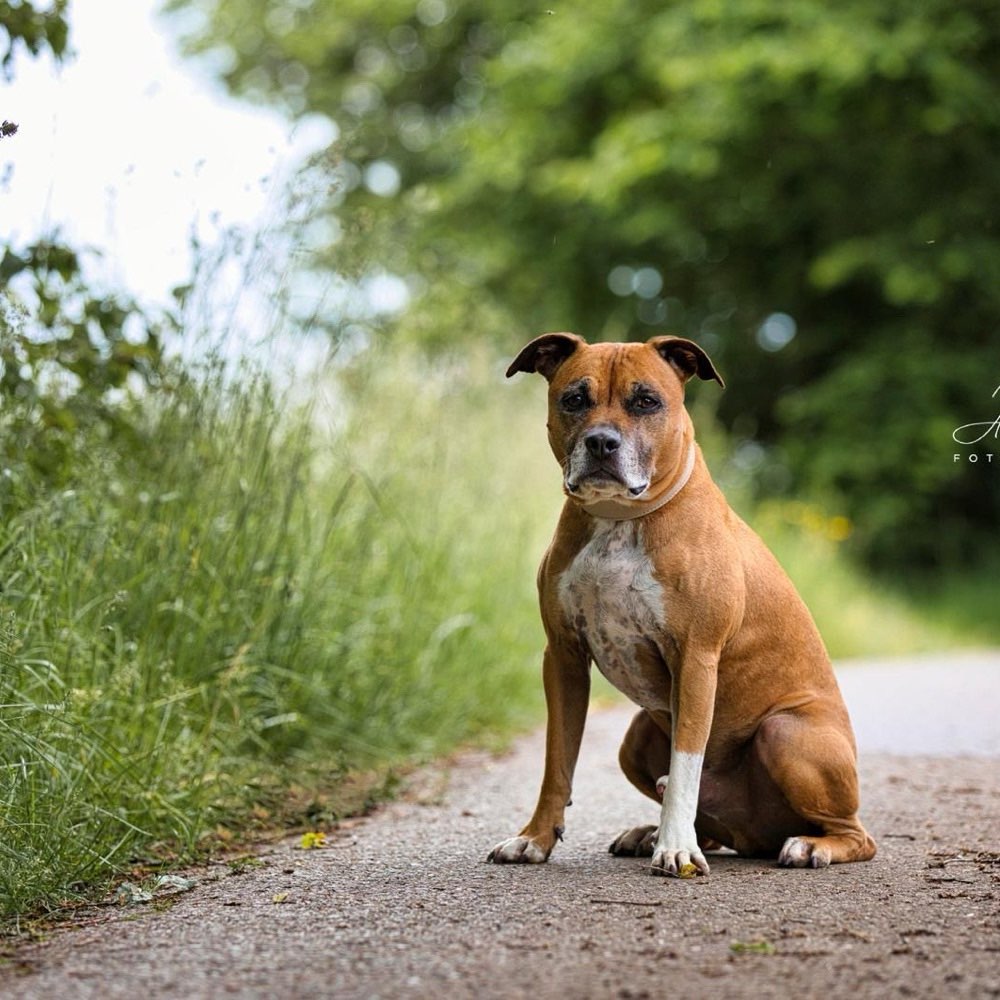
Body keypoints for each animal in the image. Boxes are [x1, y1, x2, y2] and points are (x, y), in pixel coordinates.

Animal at [490, 334, 876, 876]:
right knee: (709, 822)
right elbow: (557, 761)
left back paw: (810, 845)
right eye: (575, 399)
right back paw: (648, 833)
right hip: (634, 739)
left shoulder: (696, 659)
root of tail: (756, 836)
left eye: (646, 401)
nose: (602, 442)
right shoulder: (563, 657)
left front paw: (674, 847)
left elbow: (686, 766)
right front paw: (535, 839)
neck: (619, 518)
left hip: (785, 731)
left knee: (856, 834)